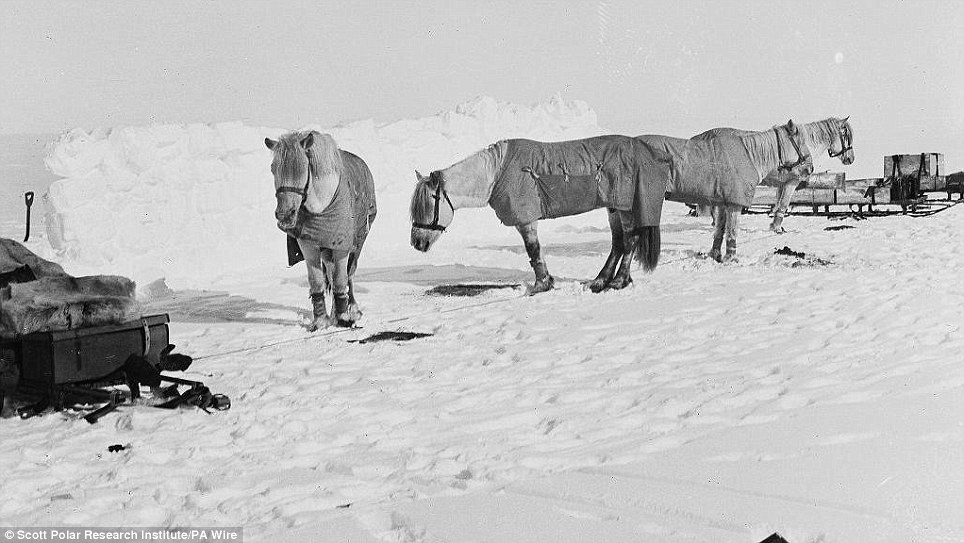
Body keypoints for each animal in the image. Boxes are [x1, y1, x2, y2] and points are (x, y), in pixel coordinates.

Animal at [265, 131, 377, 331]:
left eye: (302, 168)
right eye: (273, 168)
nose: (284, 216)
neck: (321, 206)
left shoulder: (342, 246)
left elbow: (341, 279)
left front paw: (344, 317)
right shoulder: (309, 245)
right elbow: (318, 282)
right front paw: (320, 321)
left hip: (359, 241)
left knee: (349, 273)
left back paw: (352, 309)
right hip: (326, 250)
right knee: (331, 274)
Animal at [409, 135, 669, 294]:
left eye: (429, 203)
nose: (417, 243)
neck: (496, 173)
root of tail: (645, 152)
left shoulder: (525, 221)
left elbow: (533, 250)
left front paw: (541, 284)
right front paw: (545, 282)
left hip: (624, 207)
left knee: (630, 240)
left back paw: (618, 280)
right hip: (614, 207)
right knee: (618, 242)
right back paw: (600, 280)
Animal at [637, 120, 815, 262]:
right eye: (801, 142)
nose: (810, 168)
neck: (751, 156)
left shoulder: (722, 203)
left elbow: (720, 230)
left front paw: (715, 255)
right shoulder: (734, 204)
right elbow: (732, 230)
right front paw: (731, 258)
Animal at [691, 117, 854, 233]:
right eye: (846, 135)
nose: (851, 159)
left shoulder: (781, 184)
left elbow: (778, 203)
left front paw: (776, 224)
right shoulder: (791, 182)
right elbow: (784, 203)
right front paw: (776, 227)